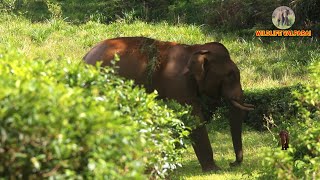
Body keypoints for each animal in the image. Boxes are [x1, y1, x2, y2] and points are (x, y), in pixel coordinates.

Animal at [83, 36, 255, 172]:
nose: (232, 163)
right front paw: (214, 170)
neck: (194, 49)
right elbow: (193, 118)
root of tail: (84, 58)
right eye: (231, 75)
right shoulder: (178, 83)